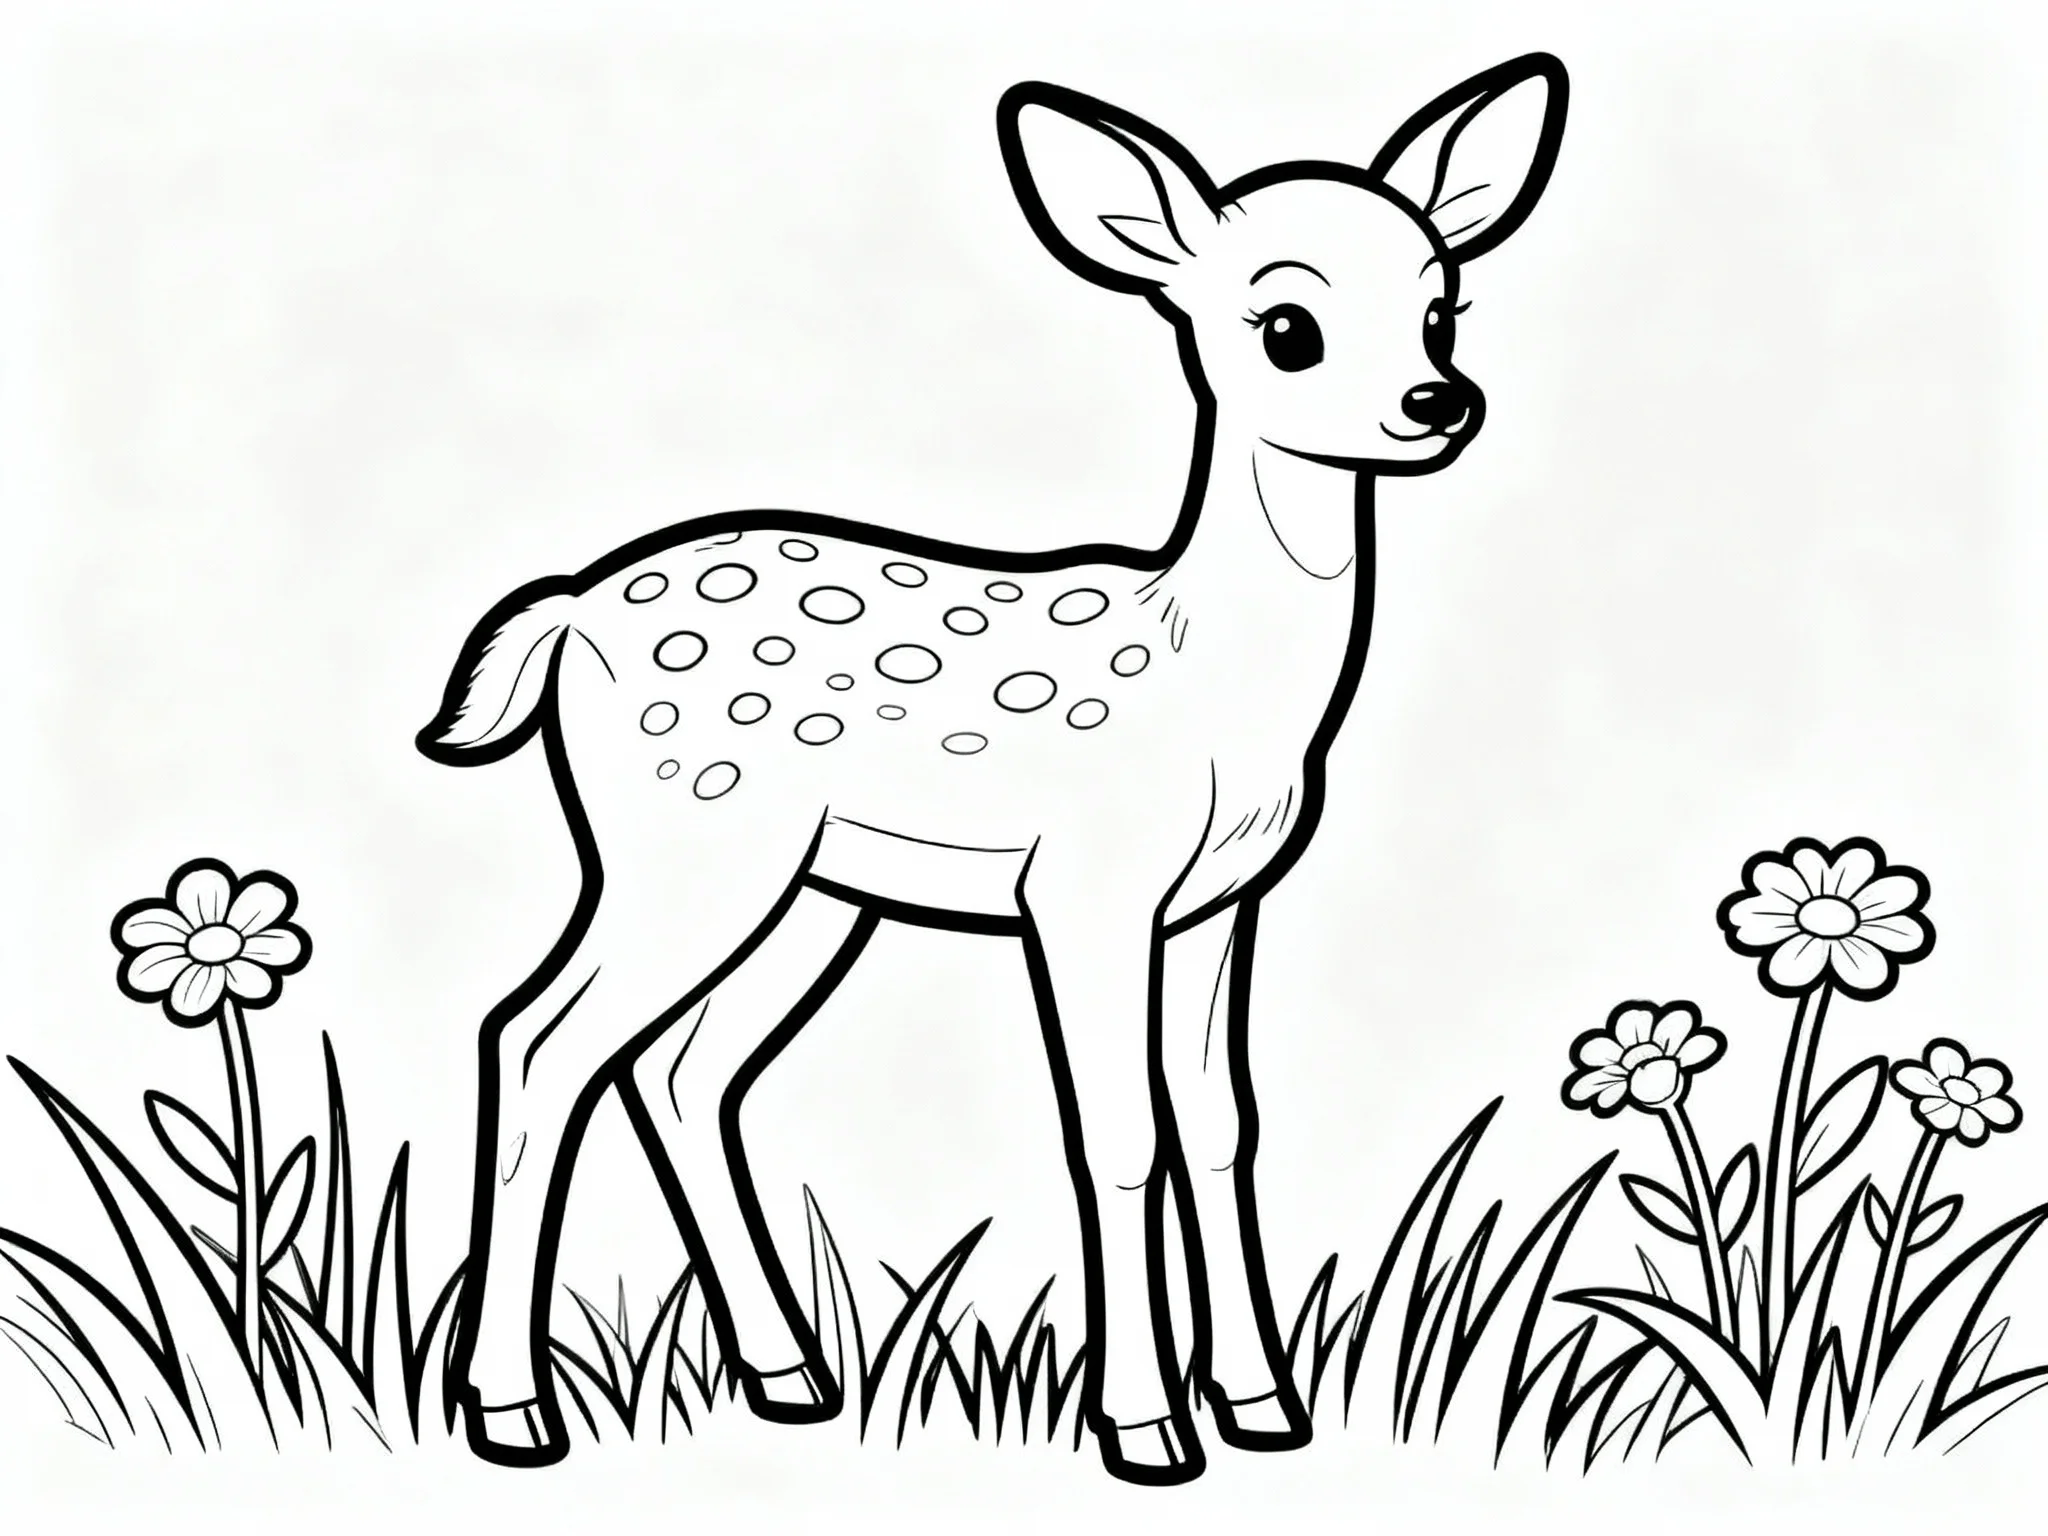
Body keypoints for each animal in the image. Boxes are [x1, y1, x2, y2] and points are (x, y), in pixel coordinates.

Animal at [418, 55, 1567, 1485]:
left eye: (1440, 305)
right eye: (1284, 326)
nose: (1438, 403)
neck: (1215, 675)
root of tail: (570, 614)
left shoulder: (1219, 905)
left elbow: (1221, 1126)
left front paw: (1262, 1409)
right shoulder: (1086, 889)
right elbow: (1117, 1135)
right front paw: (1147, 1428)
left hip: (812, 891)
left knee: (681, 1070)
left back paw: (791, 1377)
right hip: (682, 843)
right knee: (535, 1038)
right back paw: (514, 1413)